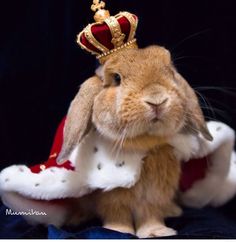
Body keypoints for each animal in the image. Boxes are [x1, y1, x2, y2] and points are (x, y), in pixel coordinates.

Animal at [56, 45, 212, 238]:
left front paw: (156, 232)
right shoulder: (112, 197)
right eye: (116, 78)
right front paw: (117, 231)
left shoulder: (154, 194)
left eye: (170, 71)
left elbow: (150, 212)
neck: (143, 144)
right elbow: (117, 214)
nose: (157, 100)